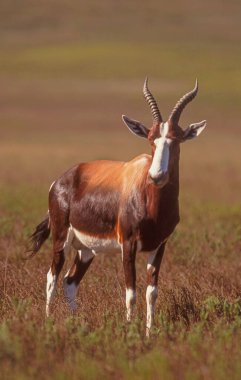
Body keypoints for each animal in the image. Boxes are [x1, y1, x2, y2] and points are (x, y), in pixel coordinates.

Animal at [27, 78, 205, 334]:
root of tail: (61, 180)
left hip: (86, 250)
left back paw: (75, 322)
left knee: (70, 282)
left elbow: (152, 293)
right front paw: (130, 331)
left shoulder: (159, 246)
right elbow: (131, 294)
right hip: (61, 239)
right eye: (151, 139)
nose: (156, 176)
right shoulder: (127, 245)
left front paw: (149, 333)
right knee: (52, 277)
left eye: (176, 139)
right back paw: (49, 321)